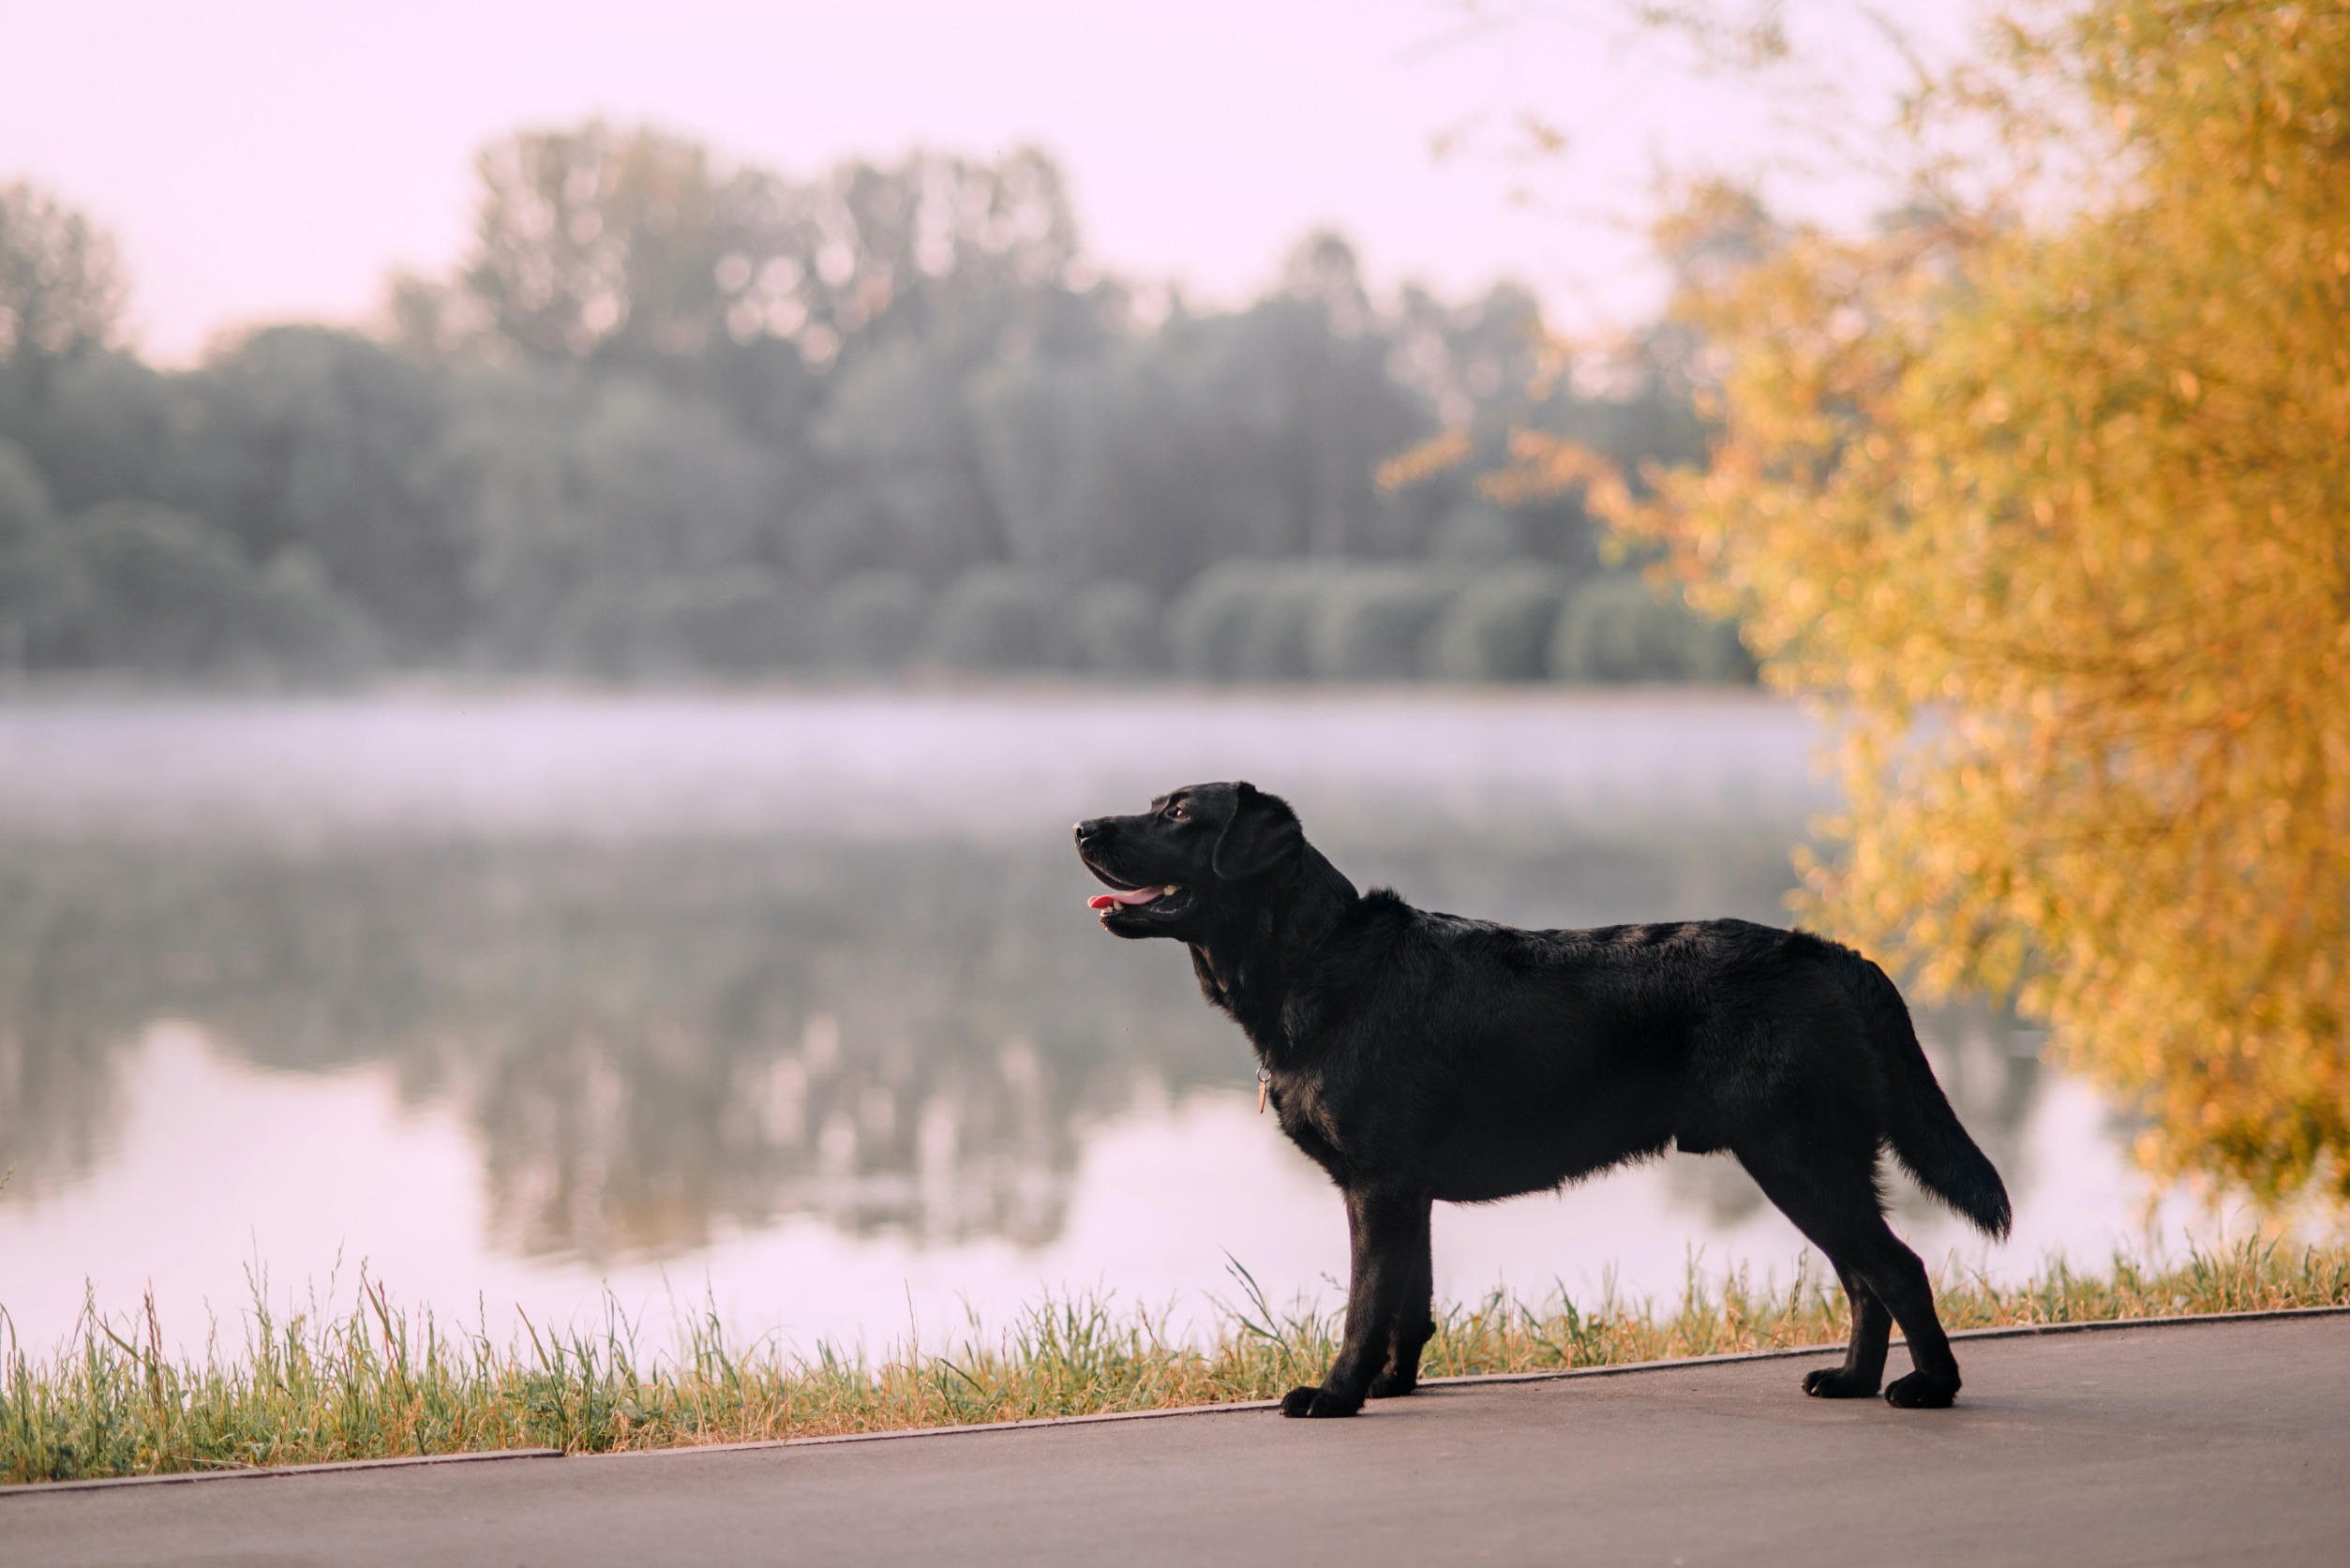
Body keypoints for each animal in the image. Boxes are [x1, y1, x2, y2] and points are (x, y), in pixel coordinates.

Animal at [1076, 780, 2011, 1419]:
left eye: (1178, 814)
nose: (1082, 827)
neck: (1319, 959)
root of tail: (1826, 951)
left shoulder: (1375, 1187)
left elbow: (1364, 1303)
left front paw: (1337, 1393)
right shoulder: (1405, 1192)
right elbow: (1408, 1303)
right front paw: (1393, 1385)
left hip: (1798, 1154)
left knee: (1896, 1268)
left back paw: (1930, 1386)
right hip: (1805, 1161)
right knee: (1863, 1279)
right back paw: (1850, 1380)